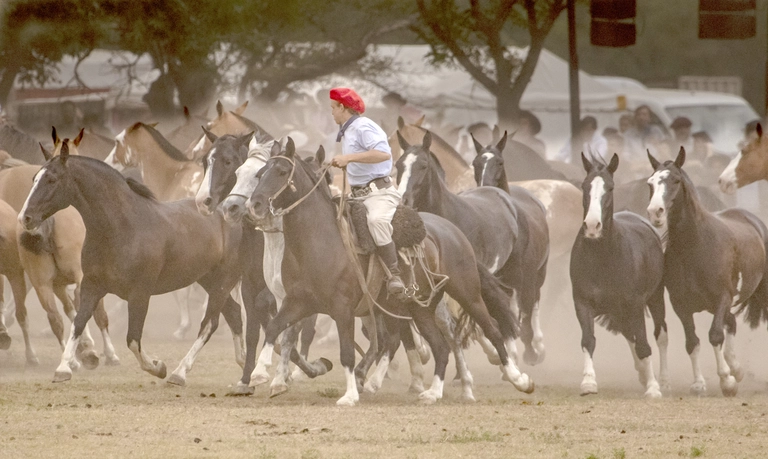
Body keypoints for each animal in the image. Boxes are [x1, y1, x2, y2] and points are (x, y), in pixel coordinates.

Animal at [18, 147, 246, 384]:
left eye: (52, 179)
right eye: (34, 178)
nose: (25, 217)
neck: (121, 227)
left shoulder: (140, 294)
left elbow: (133, 339)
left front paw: (158, 367)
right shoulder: (91, 286)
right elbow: (78, 323)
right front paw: (63, 369)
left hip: (223, 281)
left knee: (210, 324)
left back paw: (179, 373)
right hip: (208, 280)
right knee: (234, 313)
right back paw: (243, 362)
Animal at [194, 130, 328, 396]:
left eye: (227, 161)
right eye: (205, 161)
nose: (204, 201)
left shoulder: (280, 290)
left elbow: (278, 324)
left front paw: (278, 373)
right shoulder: (249, 284)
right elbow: (255, 332)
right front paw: (247, 380)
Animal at [568, 153, 664, 398]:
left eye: (610, 188)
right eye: (584, 186)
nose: (592, 226)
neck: (604, 257)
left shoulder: (636, 303)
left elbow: (644, 344)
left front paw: (653, 387)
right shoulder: (582, 302)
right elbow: (588, 340)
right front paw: (588, 382)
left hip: (654, 298)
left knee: (655, 334)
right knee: (629, 334)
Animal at [648, 149, 768, 398]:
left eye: (675, 180)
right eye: (650, 182)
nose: (655, 212)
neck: (696, 245)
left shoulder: (722, 297)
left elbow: (715, 335)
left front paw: (726, 381)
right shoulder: (681, 305)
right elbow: (692, 342)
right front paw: (699, 383)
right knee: (731, 322)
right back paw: (736, 368)